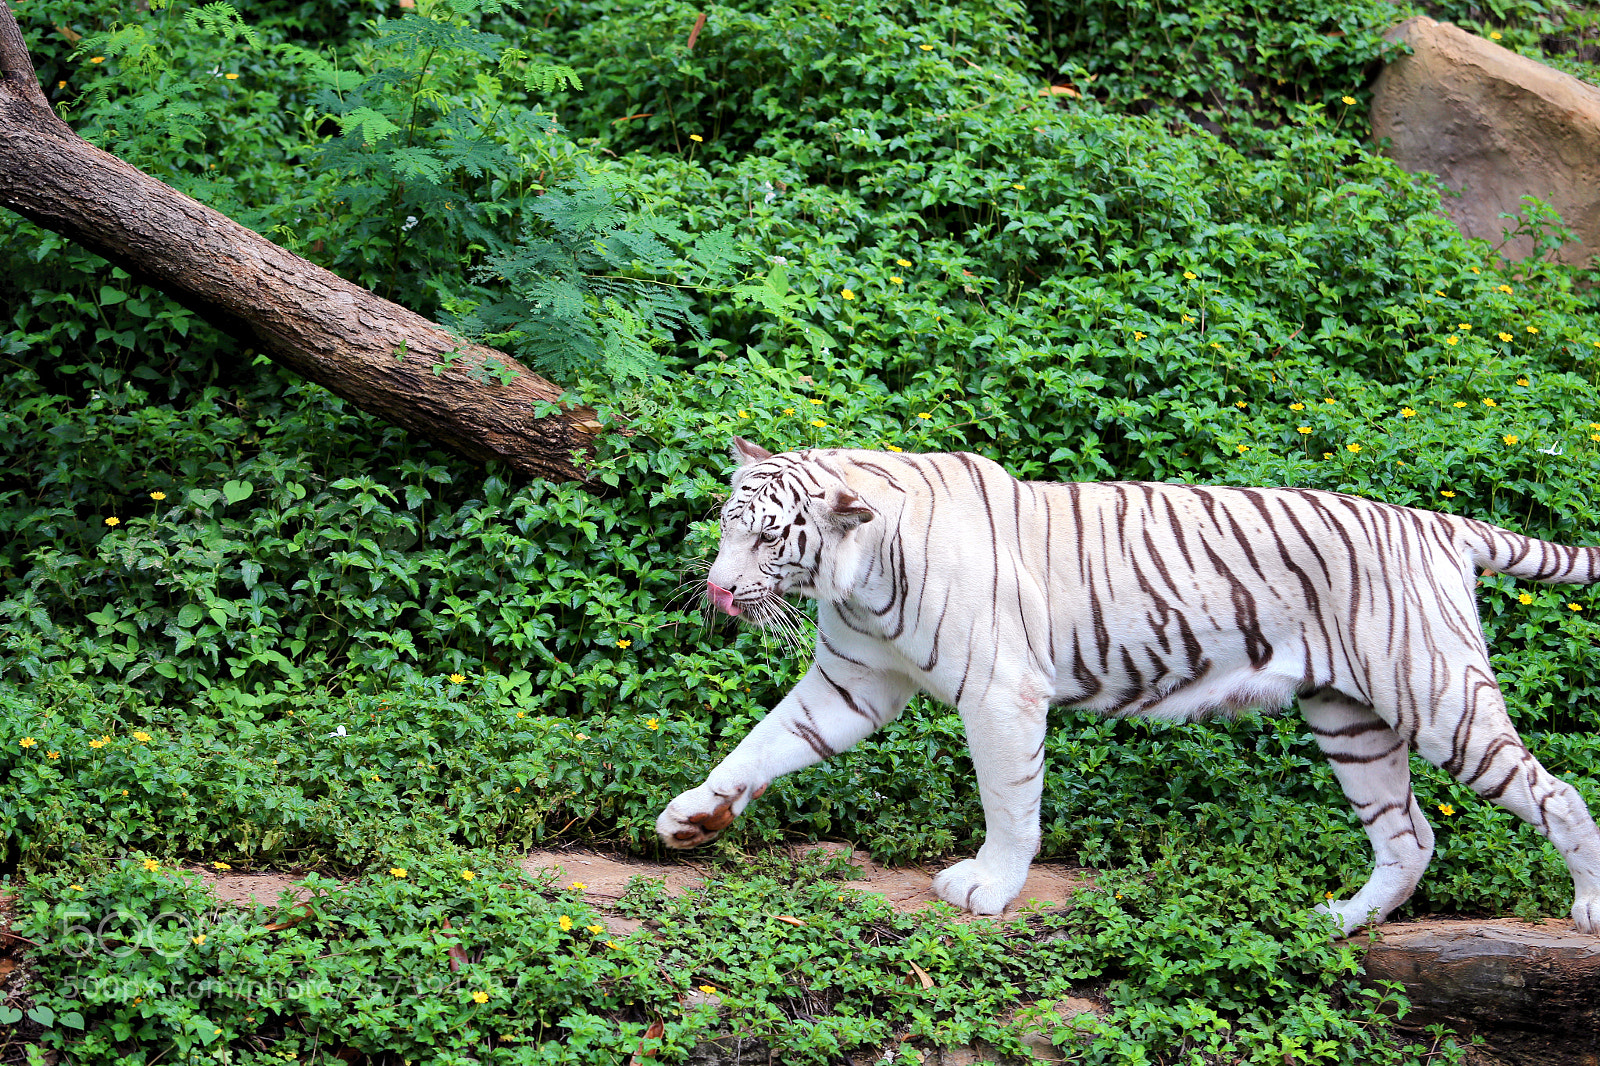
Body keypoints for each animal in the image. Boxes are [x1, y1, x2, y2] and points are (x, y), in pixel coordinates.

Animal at [656, 438, 1600, 934]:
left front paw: (989, 888)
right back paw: (1334, 923)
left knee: (1559, 796)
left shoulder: (1000, 694)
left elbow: (1009, 802)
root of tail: (1436, 520)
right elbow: (766, 741)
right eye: (726, 526)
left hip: (1436, 697)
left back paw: (1588, 907)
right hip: (1351, 719)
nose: (717, 589)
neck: (856, 578)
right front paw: (692, 816)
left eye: (769, 538)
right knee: (1409, 836)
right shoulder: (853, 682)